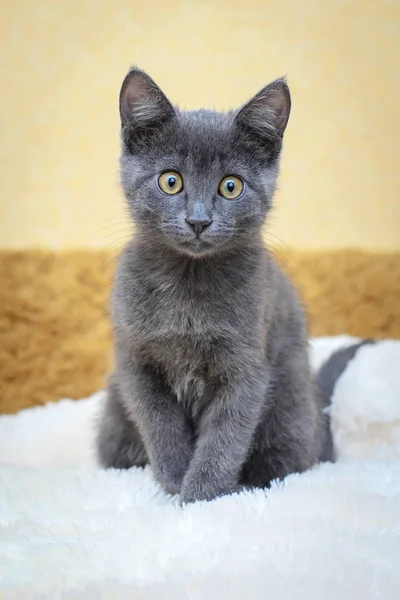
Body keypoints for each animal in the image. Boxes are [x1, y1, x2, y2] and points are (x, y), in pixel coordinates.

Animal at [97, 68, 338, 504]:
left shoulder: (246, 369)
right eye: (170, 181)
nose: (198, 220)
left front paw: (199, 497)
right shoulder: (135, 363)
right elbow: (160, 426)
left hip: (290, 411)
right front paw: (174, 482)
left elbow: (225, 437)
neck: (188, 283)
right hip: (112, 417)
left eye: (231, 186)